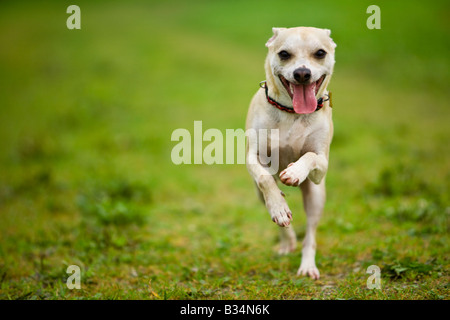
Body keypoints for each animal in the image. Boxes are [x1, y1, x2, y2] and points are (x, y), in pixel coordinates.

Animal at [246, 26, 334, 278]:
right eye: (284, 54)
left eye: (320, 53)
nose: (302, 73)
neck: (292, 113)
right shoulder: (253, 156)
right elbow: (265, 178)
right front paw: (279, 208)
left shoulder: (322, 164)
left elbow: (311, 156)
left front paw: (295, 172)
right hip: (258, 194)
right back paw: (286, 237)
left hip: (316, 196)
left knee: (311, 234)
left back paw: (308, 265)